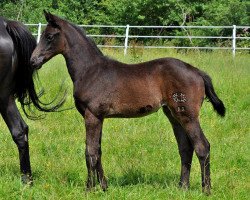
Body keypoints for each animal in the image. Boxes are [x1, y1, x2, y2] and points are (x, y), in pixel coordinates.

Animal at [30, 11, 226, 195]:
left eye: (49, 36)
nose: (33, 61)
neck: (90, 71)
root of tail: (197, 72)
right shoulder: (99, 117)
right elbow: (98, 150)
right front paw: (104, 187)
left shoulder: (92, 115)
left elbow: (90, 151)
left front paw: (89, 189)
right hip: (173, 115)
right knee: (185, 148)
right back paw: (182, 187)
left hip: (187, 115)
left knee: (202, 146)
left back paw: (206, 189)